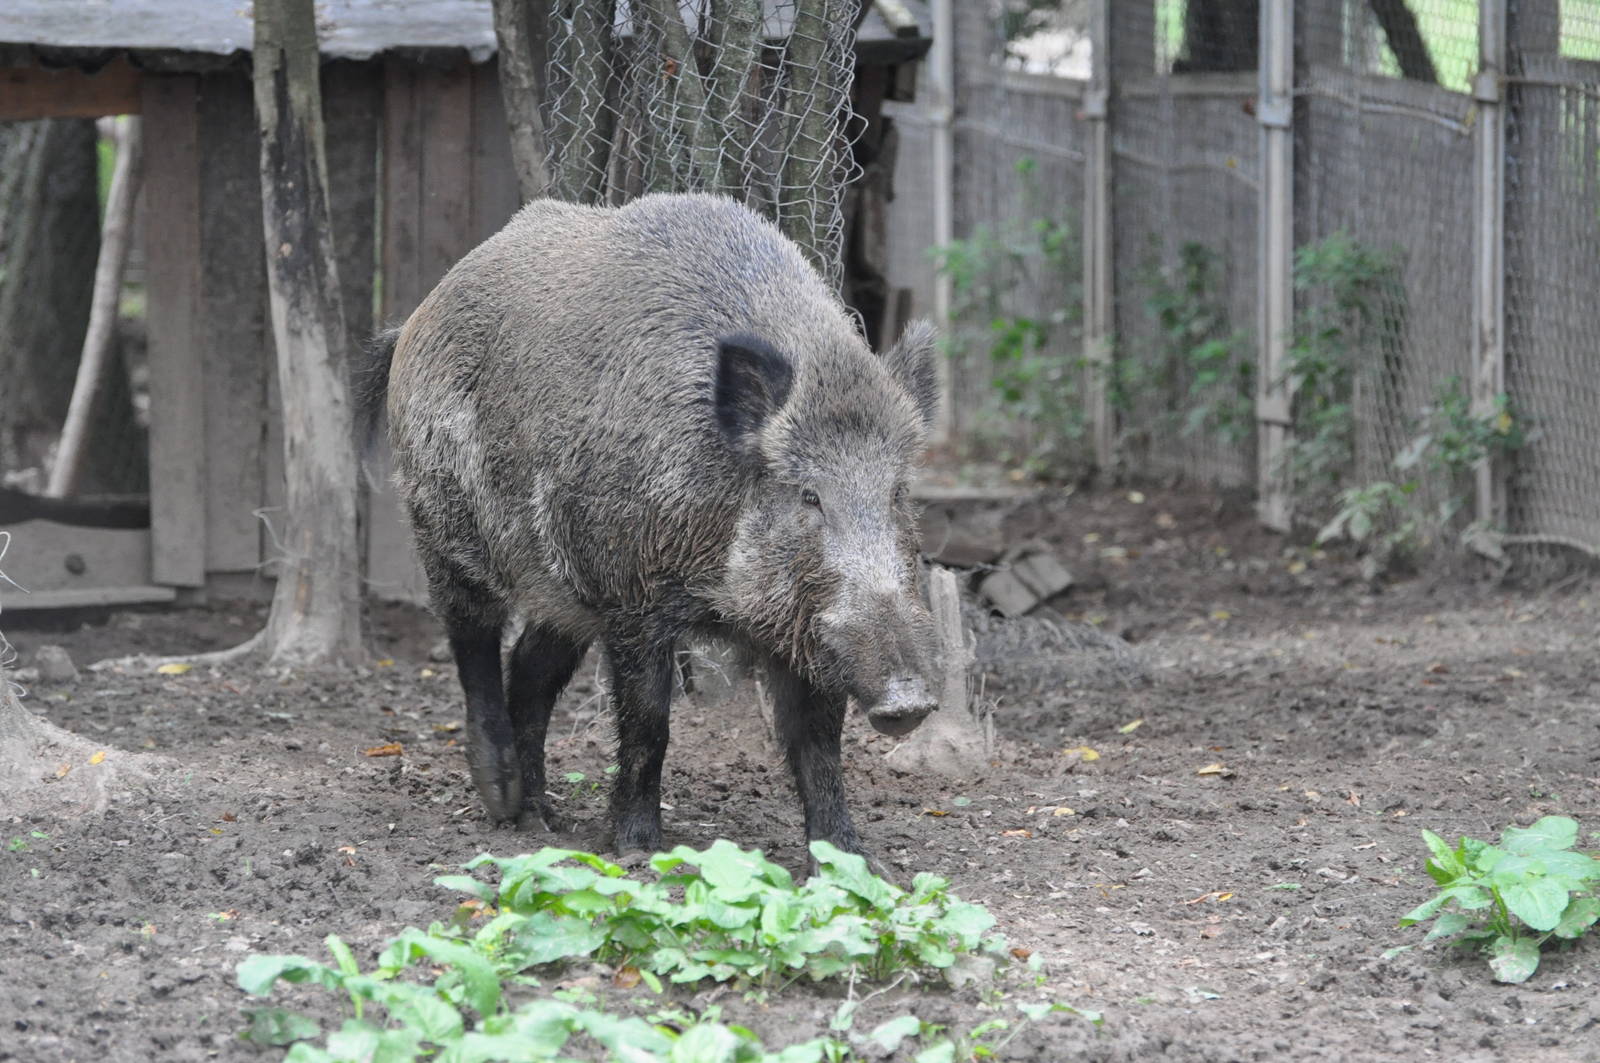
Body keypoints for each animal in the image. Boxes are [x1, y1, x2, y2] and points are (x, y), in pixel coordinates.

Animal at [359, 192, 940, 862]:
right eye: (809, 495)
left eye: (897, 492)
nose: (908, 700)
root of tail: (417, 316)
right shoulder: (632, 597)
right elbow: (648, 722)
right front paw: (638, 849)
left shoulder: (801, 625)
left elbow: (818, 741)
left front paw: (847, 861)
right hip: (444, 523)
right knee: (472, 640)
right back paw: (502, 802)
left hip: (564, 590)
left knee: (530, 671)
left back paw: (540, 820)